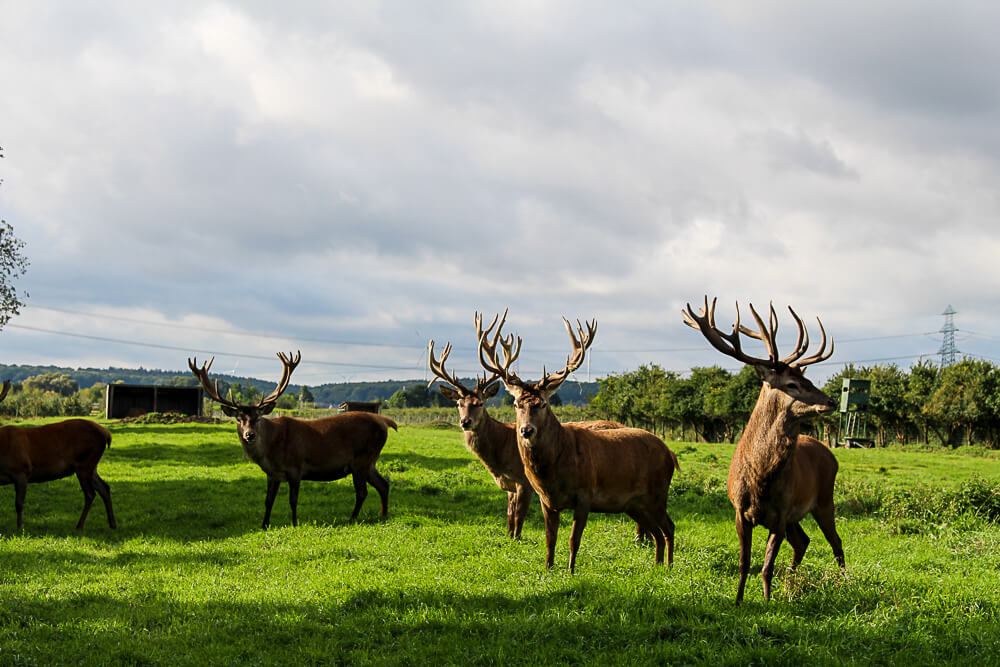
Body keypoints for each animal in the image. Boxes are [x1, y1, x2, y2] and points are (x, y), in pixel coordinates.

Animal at [0, 380, 116, 532]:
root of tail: (106, 434)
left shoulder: (21, 471)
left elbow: (19, 503)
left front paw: (20, 528)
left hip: (85, 463)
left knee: (90, 494)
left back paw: (80, 526)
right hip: (92, 467)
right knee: (105, 488)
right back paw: (112, 524)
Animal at [188, 352, 394, 528]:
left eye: (258, 417)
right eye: (239, 419)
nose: (249, 435)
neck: (271, 453)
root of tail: (385, 422)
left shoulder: (296, 467)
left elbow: (293, 500)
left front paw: (294, 523)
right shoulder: (272, 474)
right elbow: (268, 500)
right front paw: (264, 525)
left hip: (362, 459)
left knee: (362, 492)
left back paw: (352, 518)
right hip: (369, 462)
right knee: (383, 484)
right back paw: (383, 515)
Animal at [476, 316, 680, 572]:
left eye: (543, 404)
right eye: (516, 404)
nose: (526, 430)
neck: (553, 472)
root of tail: (670, 454)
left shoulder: (585, 494)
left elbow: (574, 539)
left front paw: (571, 571)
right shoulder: (546, 500)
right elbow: (550, 538)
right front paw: (548, 568)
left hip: (657, 492)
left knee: (669, 527)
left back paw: (669, 568)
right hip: (634, 504)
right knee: (656, 532)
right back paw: (657, 565)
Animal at [680, 298, 844, 604]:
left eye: (807, 379)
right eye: (792, 384)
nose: (831, 401)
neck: (760, 480)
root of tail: (830, 454)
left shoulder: (781, 514)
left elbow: (766, 566)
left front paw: (768, 601)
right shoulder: (739, 512)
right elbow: (745, 563)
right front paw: (738, 600)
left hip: (824, 499)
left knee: (835, 541)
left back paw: (844, 582)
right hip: (799, 514)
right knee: (803, 541)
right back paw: (791, 581)